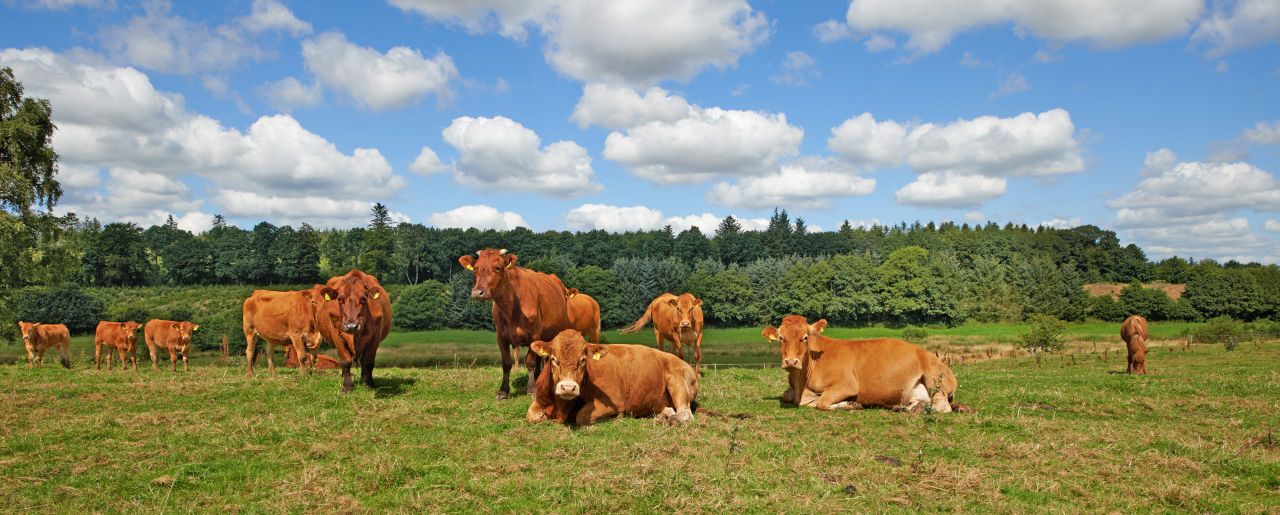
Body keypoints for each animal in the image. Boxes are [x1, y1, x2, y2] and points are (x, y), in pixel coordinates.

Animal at [459, 248, 601, 400]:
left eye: (497, 267)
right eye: (476, 268)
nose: (477, 292)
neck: (511, 308)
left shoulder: (534, 334)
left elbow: (530, 362)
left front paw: (531, 389)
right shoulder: (501, 336)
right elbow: (506, 362)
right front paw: (503, 391)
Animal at [526, 329, 698, 426]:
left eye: (583, 360)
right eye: (553, 359)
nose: (568, 388)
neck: (561, 407)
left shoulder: (614, 400)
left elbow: (582, 416)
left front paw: (616, 417)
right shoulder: (540, 399)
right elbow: (531, 416)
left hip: (677, 381)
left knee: (685, 413)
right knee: (669, 409)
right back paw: (663, 416)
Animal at [761, 315, 961, 413]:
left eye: (804, 337)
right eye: (781, 338)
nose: (791, 361)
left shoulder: (846, 385)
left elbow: (822, 402)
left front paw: (850, 404)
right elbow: (788, 396)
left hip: (935, 378)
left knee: (942, 406)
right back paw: (903, 407)